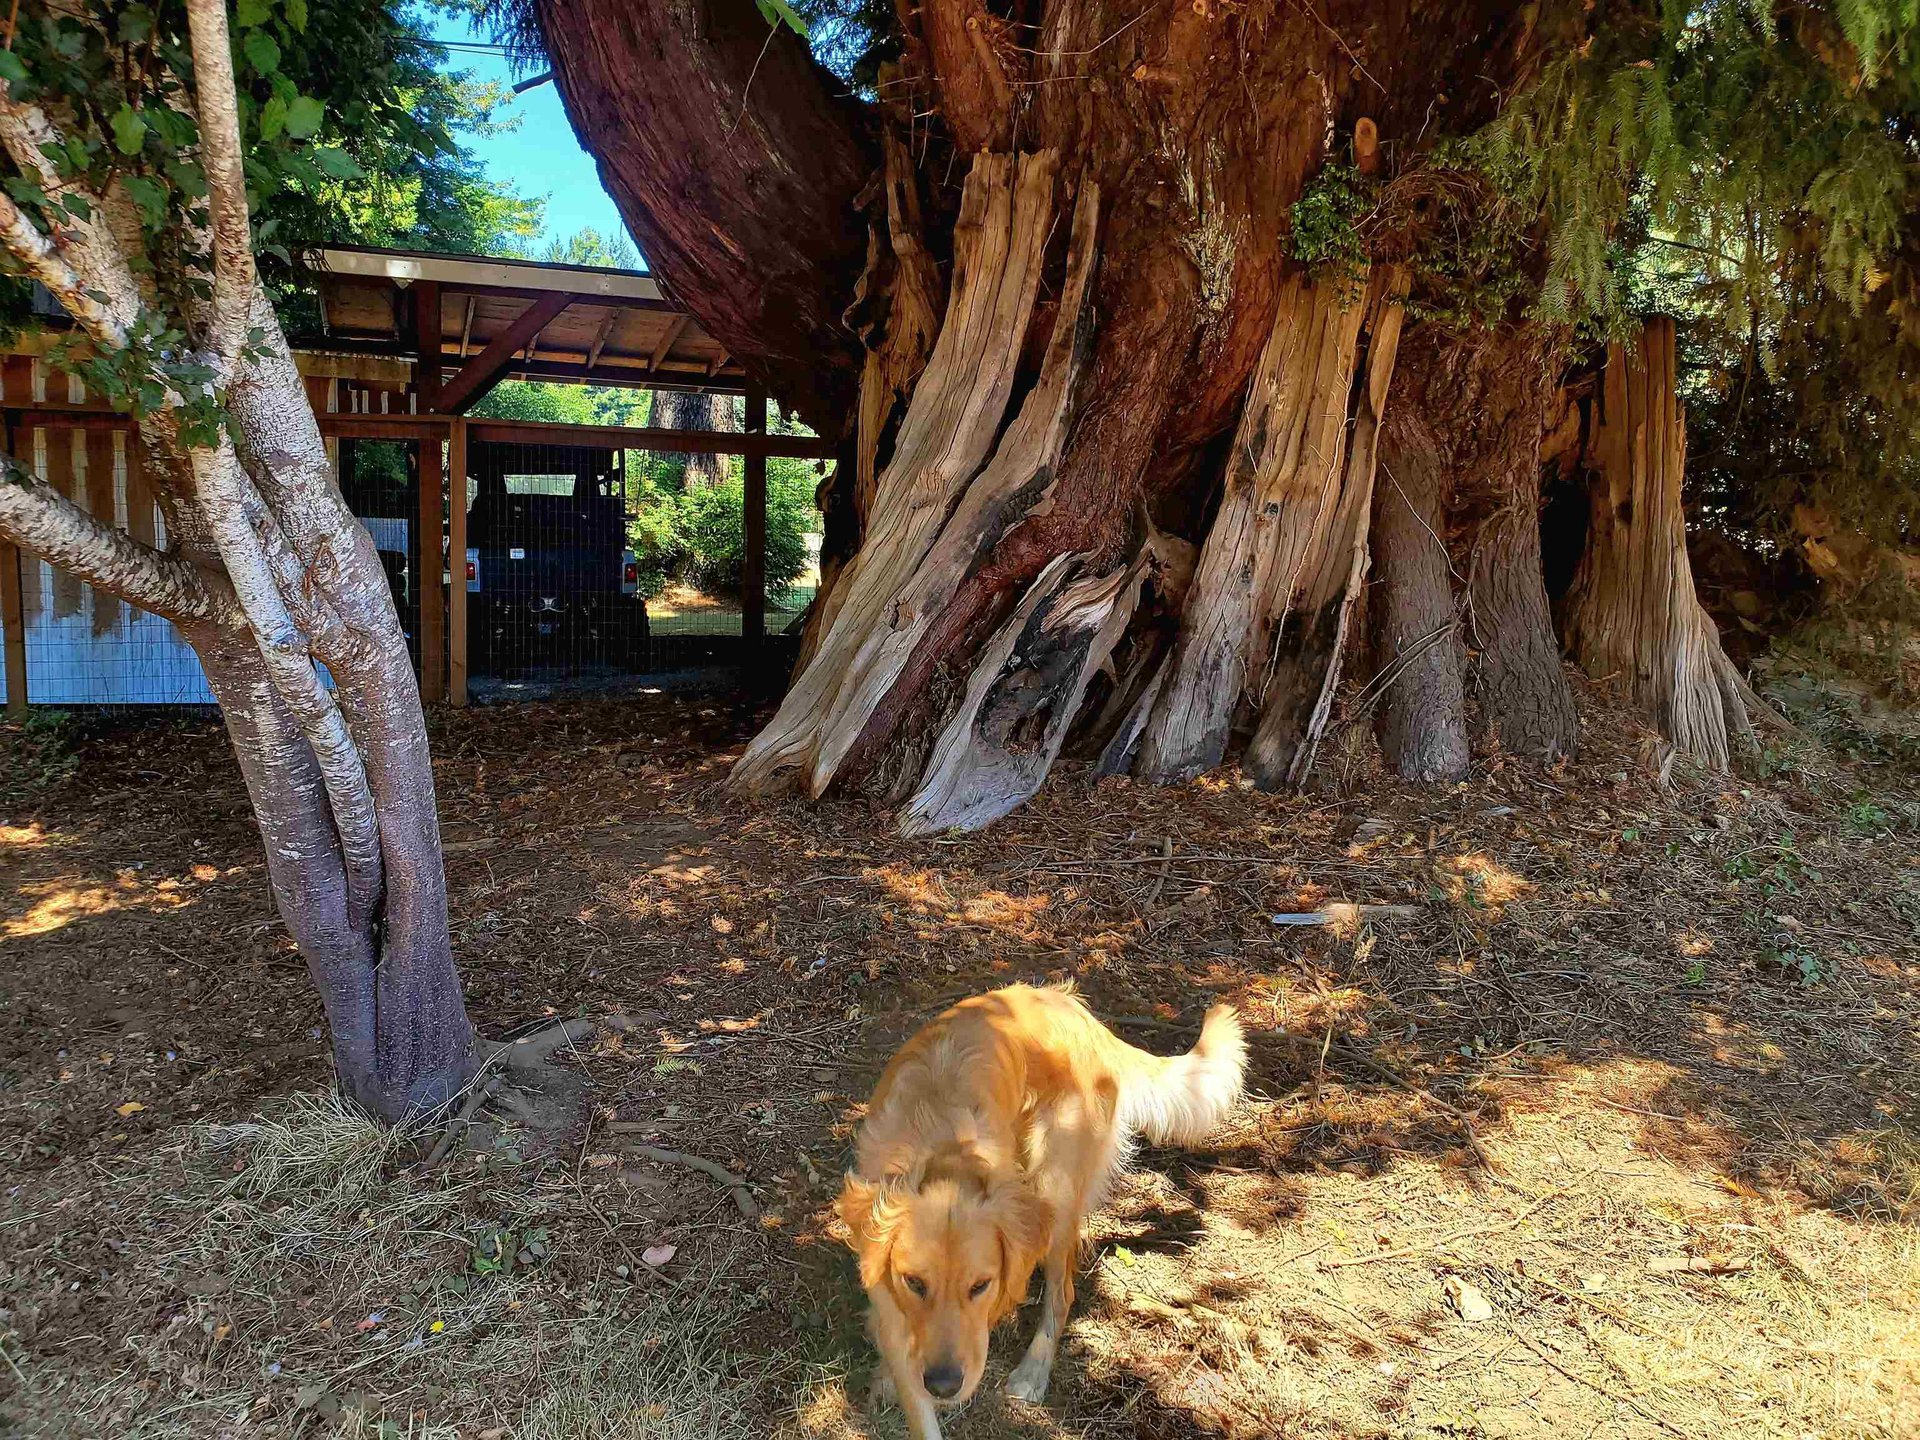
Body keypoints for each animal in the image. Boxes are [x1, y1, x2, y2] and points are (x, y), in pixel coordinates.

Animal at [835, 983, 1246, 1438]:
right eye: (915, 1283)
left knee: (1062, 1293)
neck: (943, 1147)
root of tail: (1076, 1009)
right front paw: (892, 1375)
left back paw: (1033, 1371)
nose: (944, 1385)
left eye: (980, 1286)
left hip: (1057, 1189)